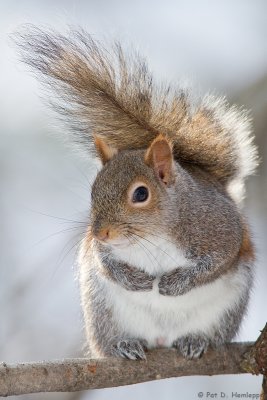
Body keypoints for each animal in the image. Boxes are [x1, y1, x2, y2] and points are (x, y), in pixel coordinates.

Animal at [15, 26, 260, 360]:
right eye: (93, 191)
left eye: (141, 195)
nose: (102, 232)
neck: (153, 234)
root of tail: (162, 339)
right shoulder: (99, 251)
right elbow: (105, 262)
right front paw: (133, 279)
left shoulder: (219, 227)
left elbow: (218, 260)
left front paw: (175, 283)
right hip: (102, 313)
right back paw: (124, 345)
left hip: (225, 312)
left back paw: (196, 340)